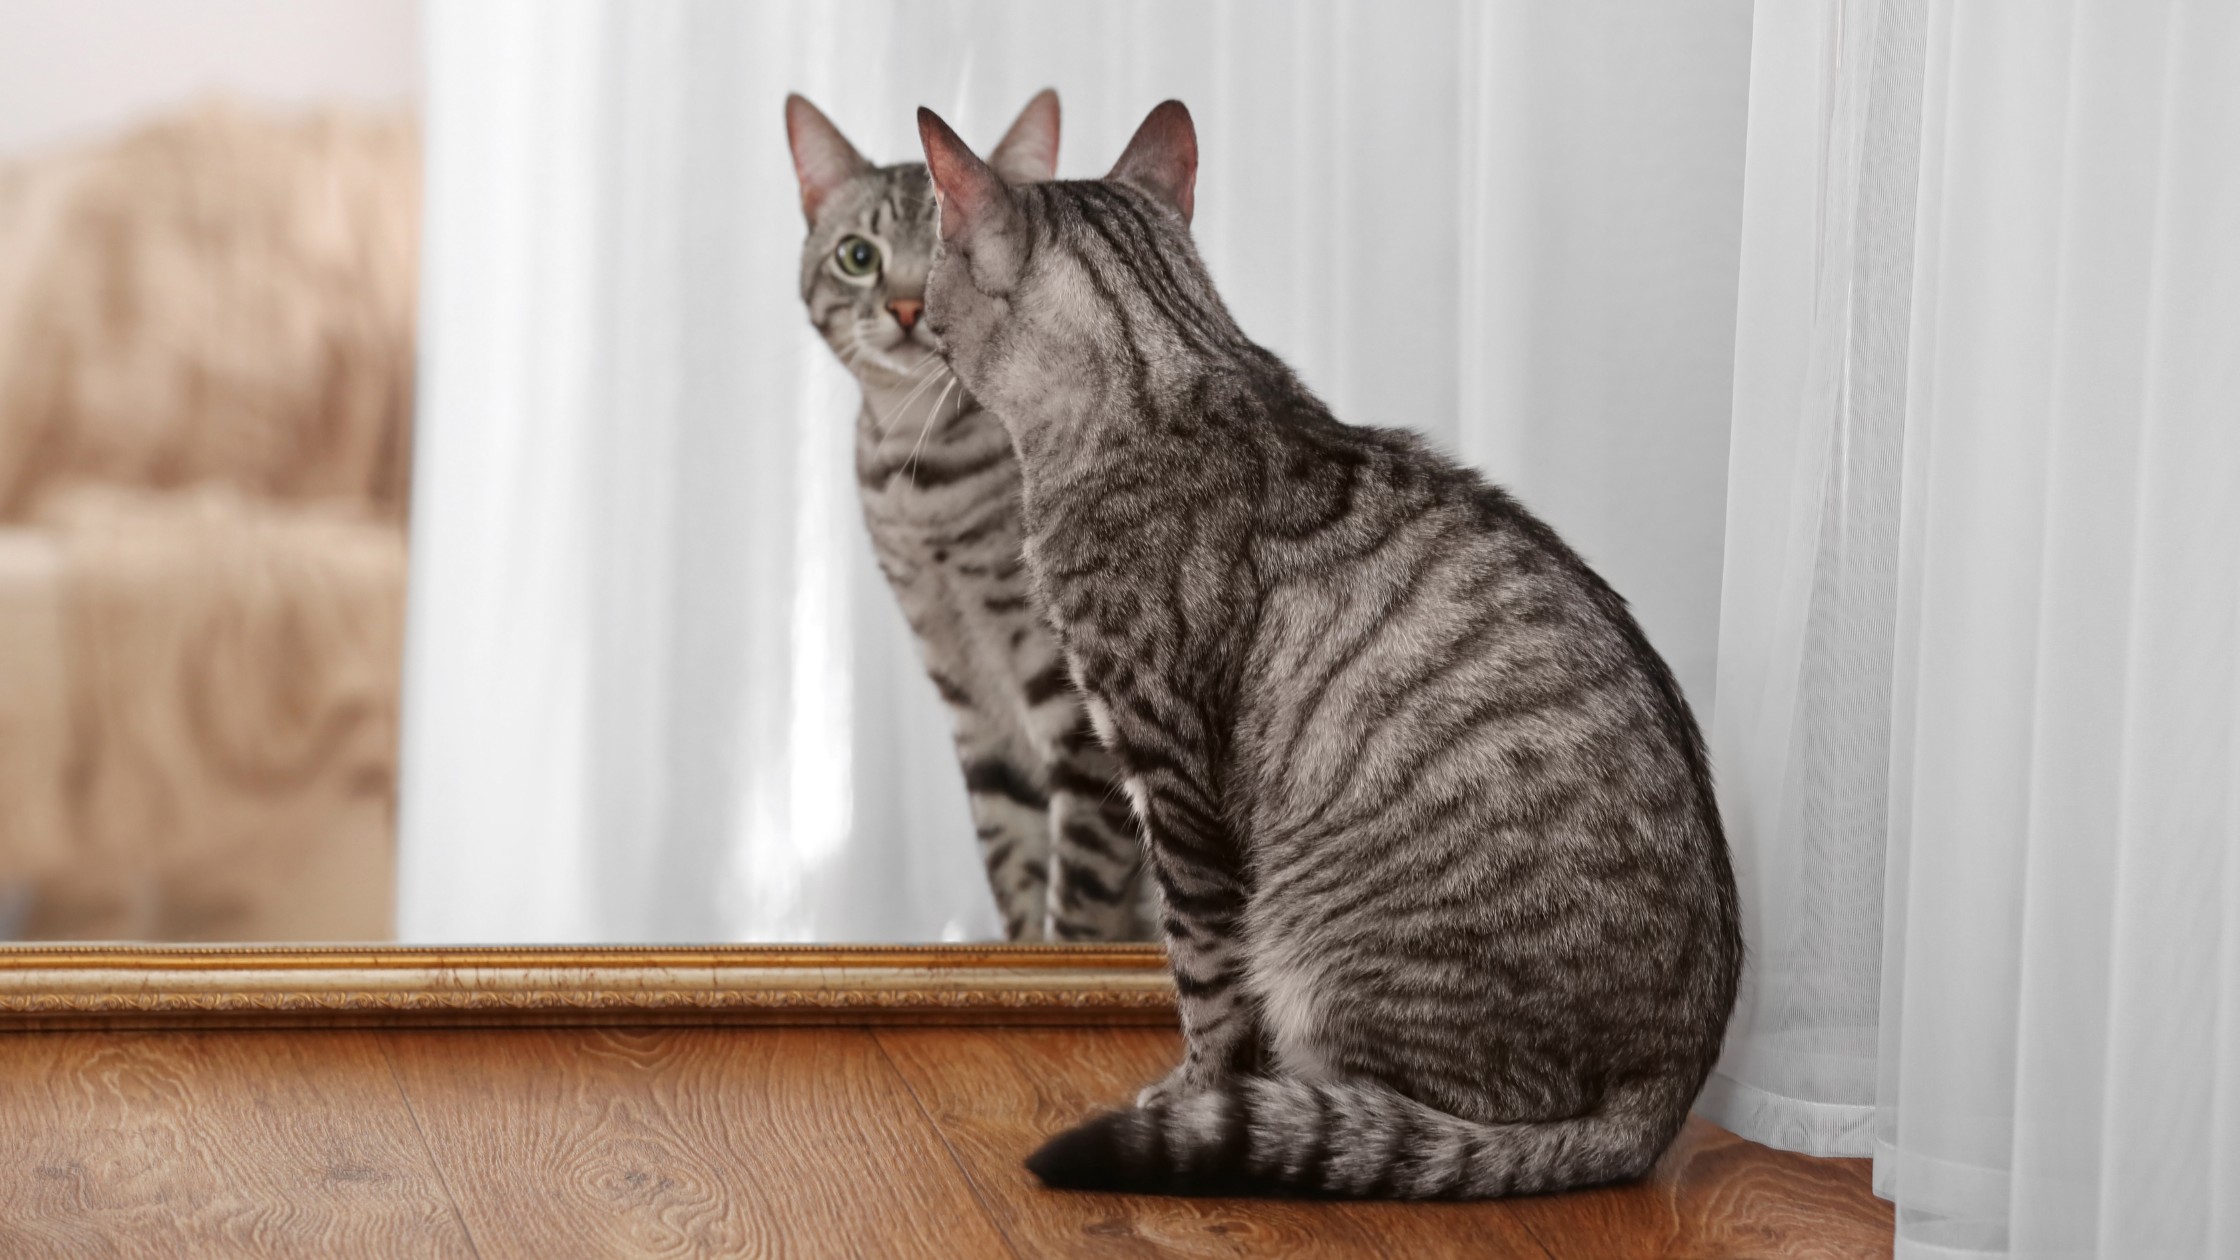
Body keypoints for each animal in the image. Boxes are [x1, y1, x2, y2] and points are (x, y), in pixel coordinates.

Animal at [784, 93, 1155, 937]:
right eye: (859, 256)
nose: (907, 306)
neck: (921, 481)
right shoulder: (966, 699)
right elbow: (1015, 869)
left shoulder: (1074, 710)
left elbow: (1079, 900)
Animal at [913, 103, 1747, 1192]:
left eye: (931, 267)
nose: (912, 317)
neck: (1164, 372)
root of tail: (1663, 1099)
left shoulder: (1166, 770)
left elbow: (1203, 976)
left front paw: (1196, 1095)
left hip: (1328, 941)